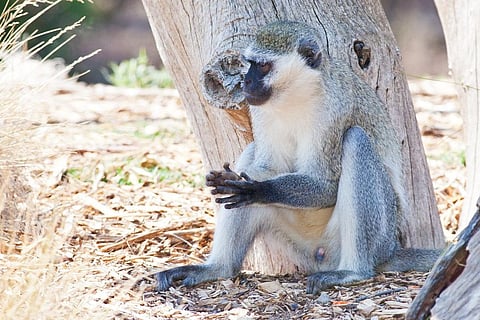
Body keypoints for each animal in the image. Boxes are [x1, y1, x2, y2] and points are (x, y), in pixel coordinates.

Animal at [155, 20, 442, 296]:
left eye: (263, 66)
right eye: (249, 64)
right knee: (252, 152)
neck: (296, 93)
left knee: (356, 141)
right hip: (296, 243)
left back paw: (353, 271)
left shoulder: (335, 110)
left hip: (379, 236)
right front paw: (237, 182)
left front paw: (258, 189)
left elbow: (325, 184)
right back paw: (218, 268)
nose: (245, 83)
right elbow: (266, 165)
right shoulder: (259, 110)